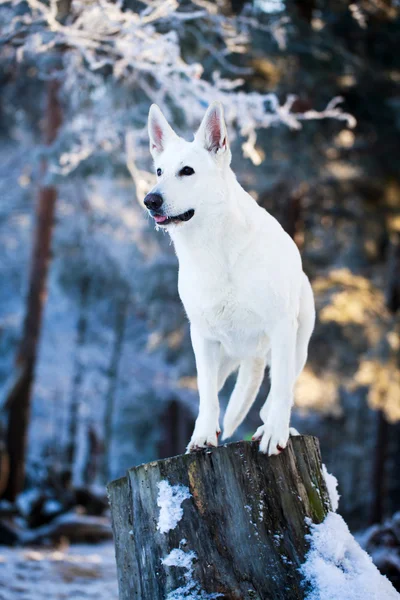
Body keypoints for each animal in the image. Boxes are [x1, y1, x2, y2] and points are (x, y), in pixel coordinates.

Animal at [145, 102, 316, 454]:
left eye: (187, 171)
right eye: (159, 172)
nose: (150, 200)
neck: (215, 249)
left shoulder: (281, 327)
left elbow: (280, 390)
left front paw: (275, 433)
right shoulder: (202, 337)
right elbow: (207, 394)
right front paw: (203, 436)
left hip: (297, 344)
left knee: (278, 393)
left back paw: (275, 427)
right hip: (226, 356)